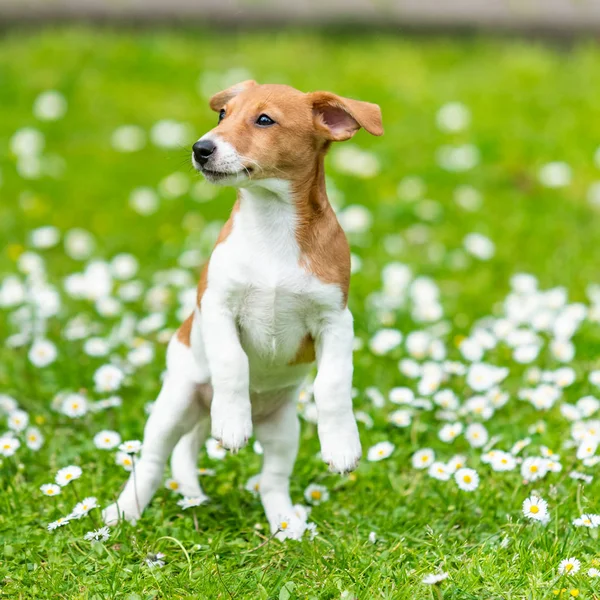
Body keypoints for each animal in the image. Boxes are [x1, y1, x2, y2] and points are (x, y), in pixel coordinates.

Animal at [103, 81, 384, 536]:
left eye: (264, 120)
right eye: (223, 115)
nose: (201, 148)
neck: (271, 226)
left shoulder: (336, 321)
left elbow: (333, 384)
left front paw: (342, 445)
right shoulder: (218, 306)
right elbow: (232, 363)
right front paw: (233, 423)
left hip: (283, 431)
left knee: (271, 480)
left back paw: (287, 525)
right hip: (174, 405)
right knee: (151, 461)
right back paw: (123, 511)